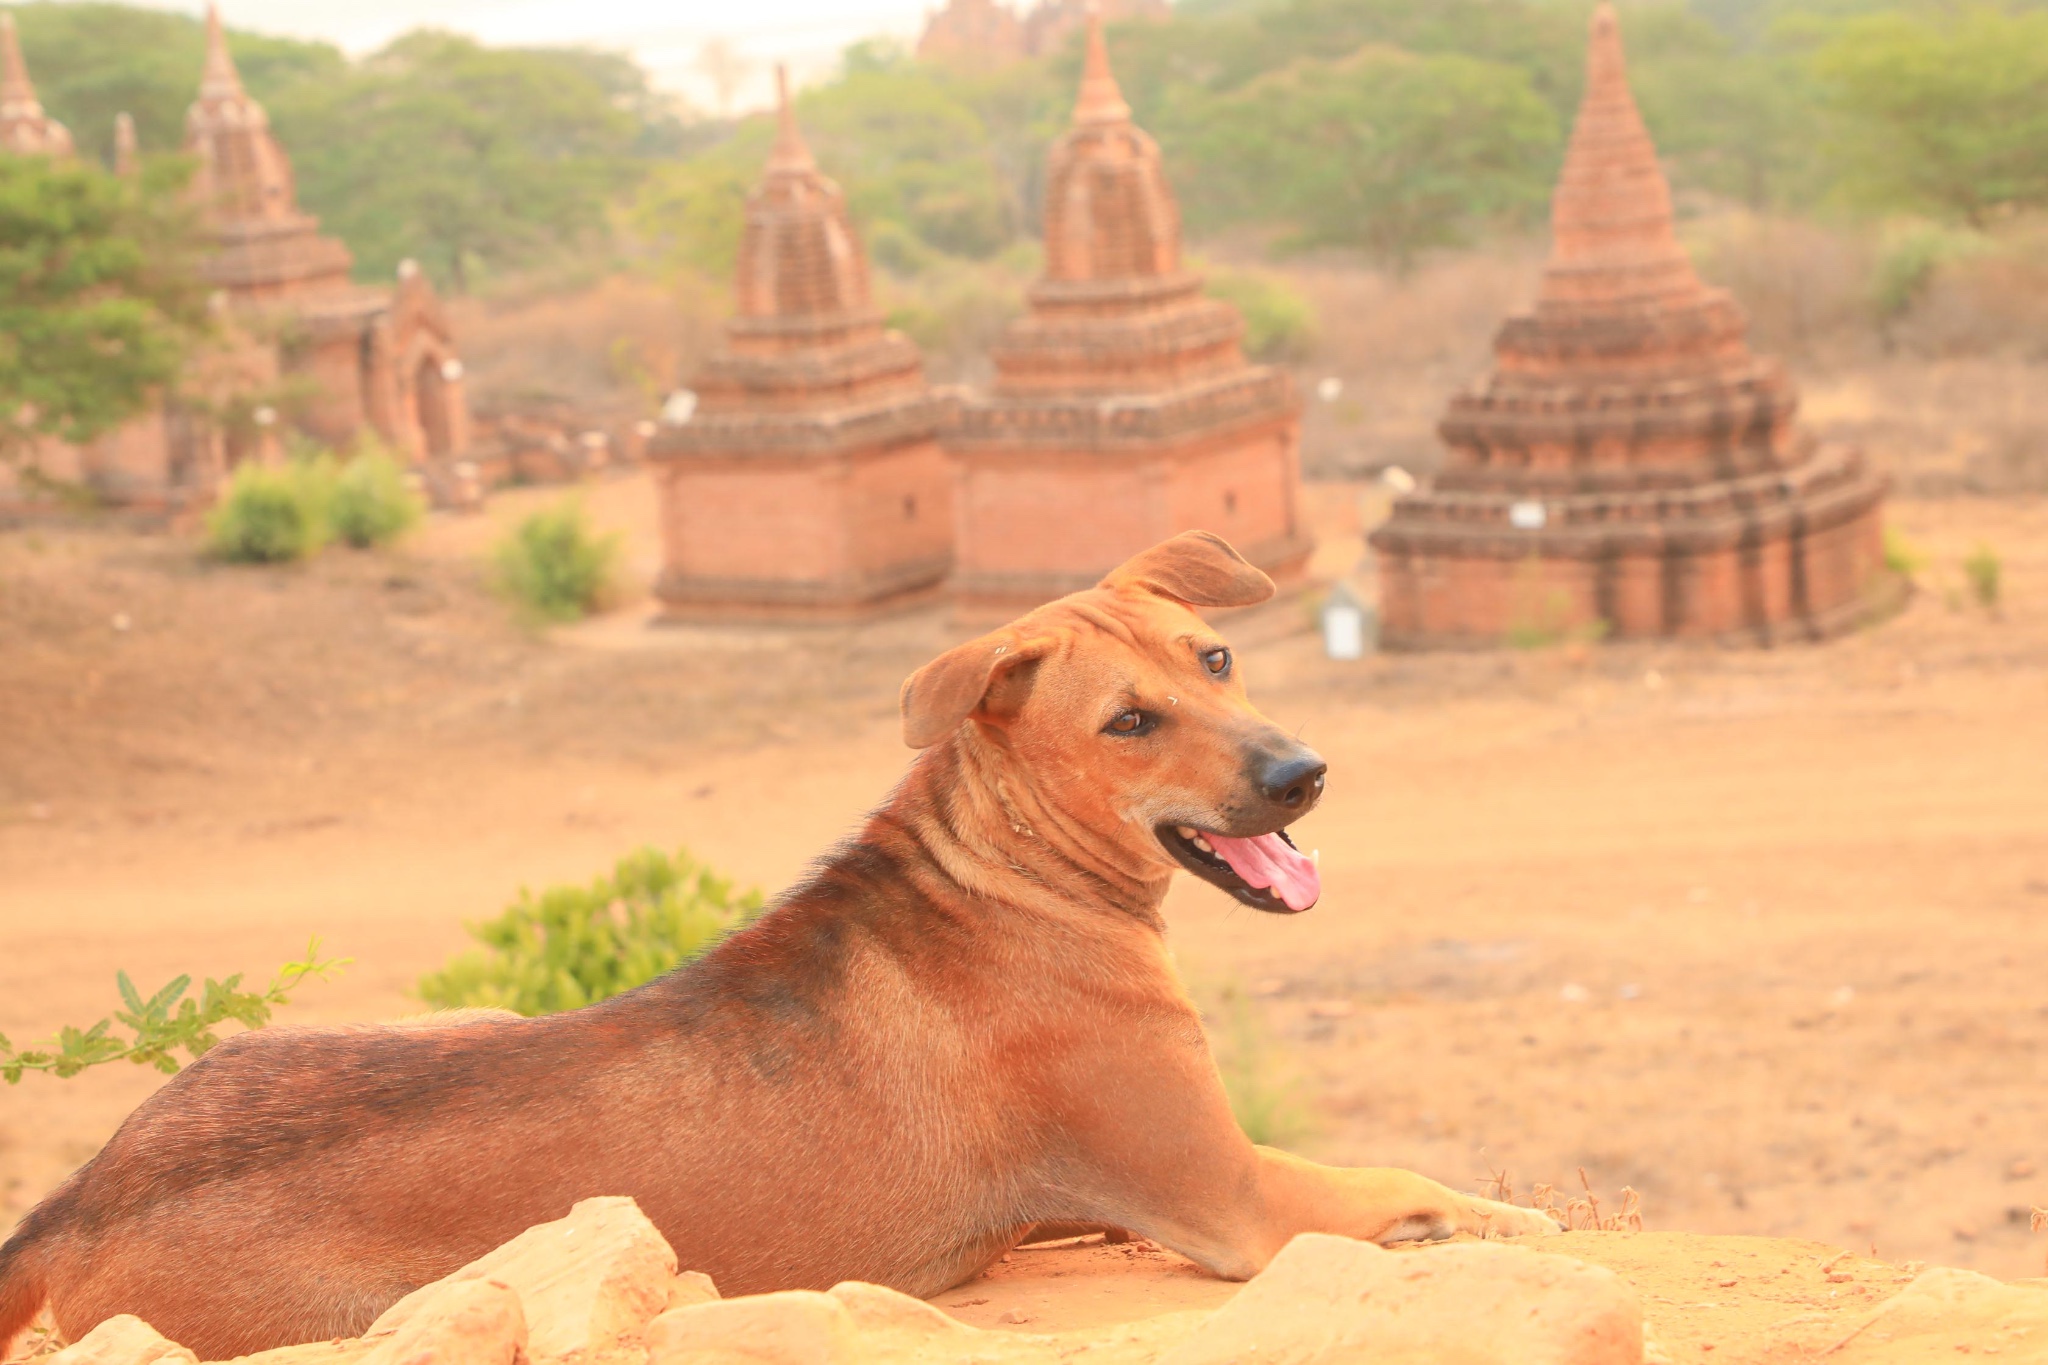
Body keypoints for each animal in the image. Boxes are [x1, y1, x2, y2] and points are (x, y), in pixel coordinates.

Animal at [0, 532, 1548, 1358]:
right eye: (1128, 722)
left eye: (1214, 660)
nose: (1303, 774)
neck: (1014, 875)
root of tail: (81, 1198)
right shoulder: (1228, 1195)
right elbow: (1424, 1190)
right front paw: (1505, 1219)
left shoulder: (1100, 1196)